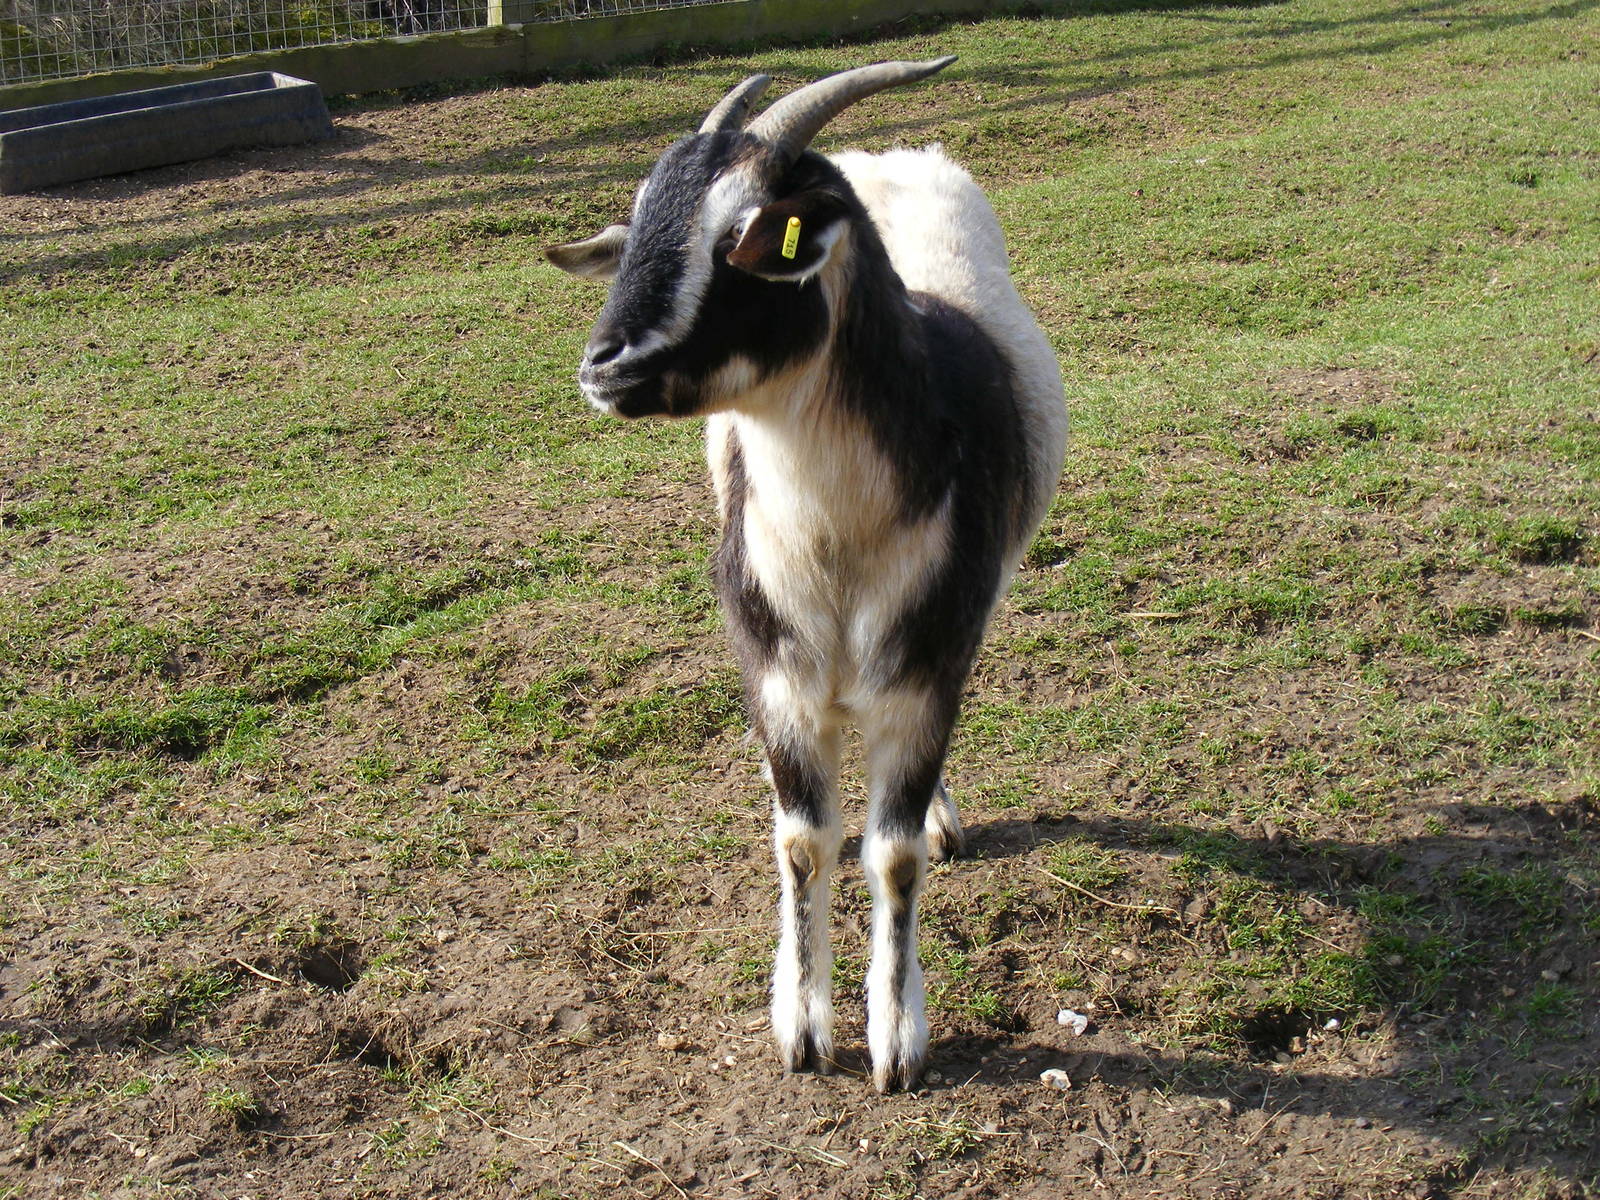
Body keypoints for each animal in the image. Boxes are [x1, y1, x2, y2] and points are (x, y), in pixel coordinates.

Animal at [545, 57, 1068, 1092]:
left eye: (743, 237)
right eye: (639, 220)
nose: (603, 365)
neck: (837, 546)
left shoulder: (926, 668)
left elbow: (892, 854)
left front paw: (896, 1041)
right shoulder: (776, 675)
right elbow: (800, 841)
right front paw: (801, 1027)